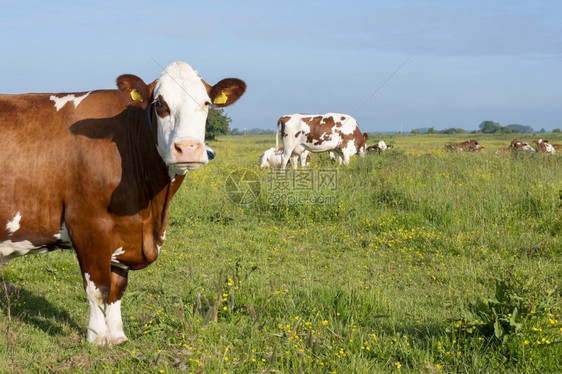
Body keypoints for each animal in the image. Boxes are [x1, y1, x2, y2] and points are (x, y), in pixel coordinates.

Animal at [0, 61, 245, 344]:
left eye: (206, 103)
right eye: (159, 104)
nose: (188, 149)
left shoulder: (125, 233)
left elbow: (118, 288)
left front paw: (117, 336)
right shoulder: (88, 227)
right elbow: (98, 288)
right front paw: (97, 338)